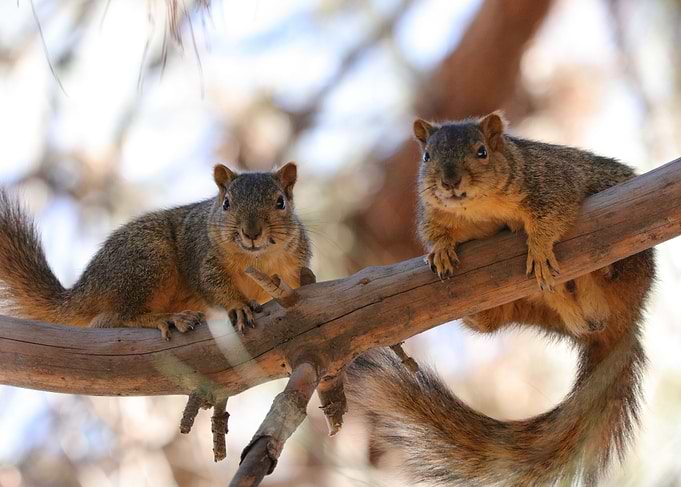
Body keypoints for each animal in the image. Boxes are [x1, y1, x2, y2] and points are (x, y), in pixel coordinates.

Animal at [0, 162, 311, 339]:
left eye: (281, 202)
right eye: (226, 203)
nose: (252, 232)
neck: (258, 259)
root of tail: (83, 288)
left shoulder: (296, 263)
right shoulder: (202, 255)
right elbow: (211, 284)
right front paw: (238, 306)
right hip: (148, 262)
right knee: (110, 319)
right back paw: (168, 318)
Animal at [346, 113, 656, 486]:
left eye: (481, 151)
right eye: (427, 157)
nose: (450, 181)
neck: (481, 209)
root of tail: (624, 321)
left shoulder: (554, 181)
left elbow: (552, 216)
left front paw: (539, 248)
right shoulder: (433, 214)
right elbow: (434, 232)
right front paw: (440, 250)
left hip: (632, 265)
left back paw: (608, 268)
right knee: (496, 321)